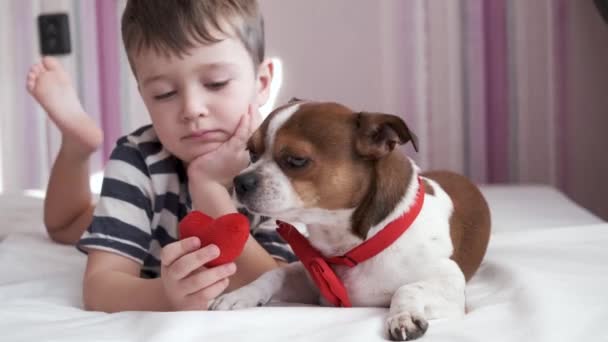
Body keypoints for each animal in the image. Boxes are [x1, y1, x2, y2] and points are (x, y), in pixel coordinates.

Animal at [211, 100, 492, 340]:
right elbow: (275, 274)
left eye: (296, 160)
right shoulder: (313, 285)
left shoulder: (449, 282)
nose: (240, 181)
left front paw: (404, 316)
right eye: (251, 153)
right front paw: (240, 294)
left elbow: (408, 288)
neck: (350, 246)